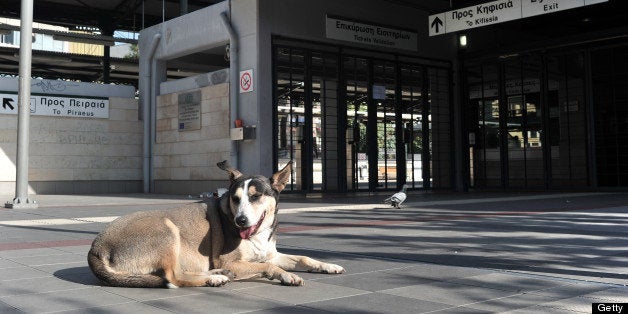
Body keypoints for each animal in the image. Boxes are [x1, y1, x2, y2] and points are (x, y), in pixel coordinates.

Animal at [87, 161, 344, 288]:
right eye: (235, 198)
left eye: (255, 196)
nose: (241, 220)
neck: (257, 235)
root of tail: (95, 249)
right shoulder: (232, 260)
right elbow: (269, 267)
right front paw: (286, 276)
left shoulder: (270, 254)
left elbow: (303, 258)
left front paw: (328, 265)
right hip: (168, 230)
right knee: (173, 277)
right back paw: (215, 278)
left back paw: (218, 274)